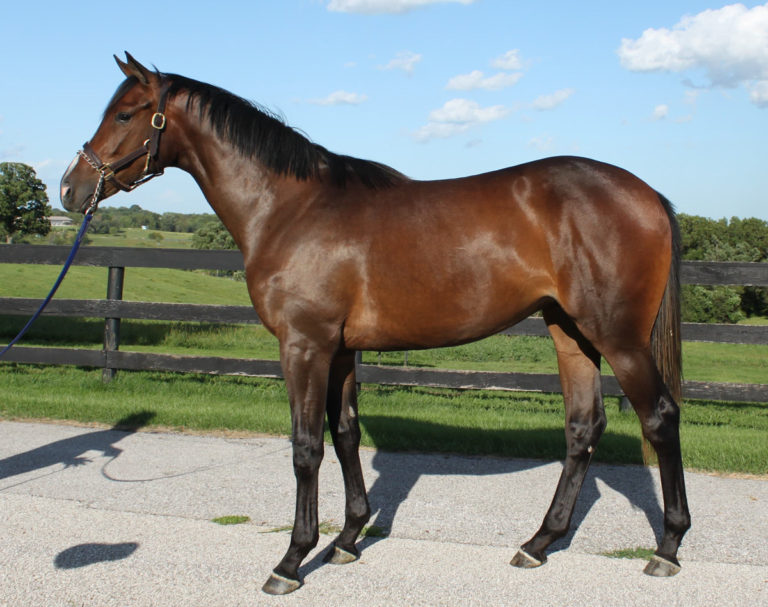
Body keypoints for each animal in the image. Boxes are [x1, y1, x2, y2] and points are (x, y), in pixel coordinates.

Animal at [60, 53, 690, 595]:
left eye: (124, 114)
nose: (70, 188)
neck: (290, 208)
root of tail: (648, 194)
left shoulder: (304, 347)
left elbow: (306, 448)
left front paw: (292, 560)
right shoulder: (340, 351)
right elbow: (345, 435)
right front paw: (346, 539)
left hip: (618, 338)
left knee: (659, 418)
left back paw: (667, 548)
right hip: (570, 334)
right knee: (583, 428)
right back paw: (539, 543)